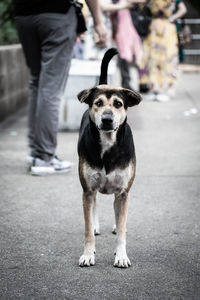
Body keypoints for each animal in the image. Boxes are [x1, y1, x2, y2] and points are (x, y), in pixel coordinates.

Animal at [77, 48, 141, 268]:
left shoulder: (123, 192)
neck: (107, 144)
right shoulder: (88, 189)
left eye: (118, 104)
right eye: (98, 103)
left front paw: (121, 255)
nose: (107, 119)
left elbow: (121, 229)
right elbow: (87, 228)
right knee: (94, 205)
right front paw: (88, 254)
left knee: (117, 212)